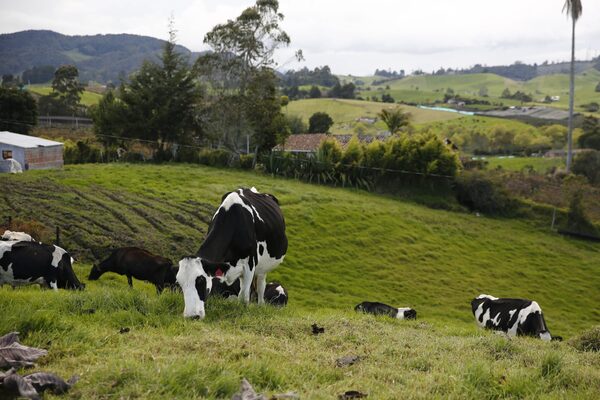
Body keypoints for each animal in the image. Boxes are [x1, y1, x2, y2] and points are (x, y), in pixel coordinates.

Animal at [176, 188, 288, 318]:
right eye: (180, 283)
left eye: (201, 281)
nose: (192, 316)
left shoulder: (249, 265)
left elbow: (243, 298)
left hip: (262, 267)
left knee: (260, 286)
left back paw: (260, 305)